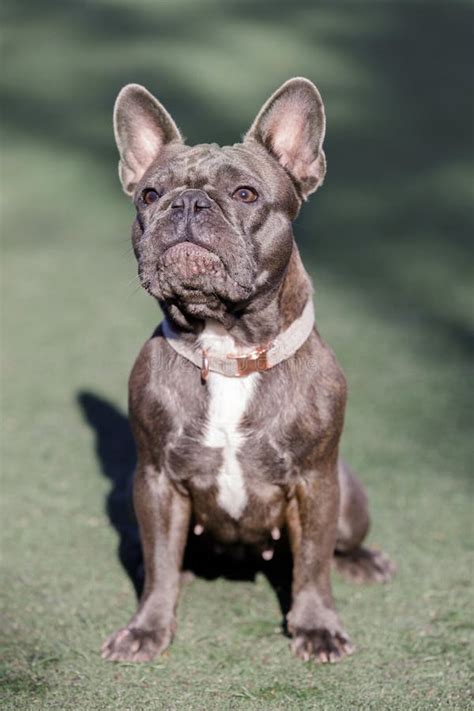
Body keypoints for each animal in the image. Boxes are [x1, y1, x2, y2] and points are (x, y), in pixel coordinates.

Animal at [102, 79, 394, 668]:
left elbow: (312, 564)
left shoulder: (315, 484)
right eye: (149, 195)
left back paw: (362, 561)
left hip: (349, 496)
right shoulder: (156, 483)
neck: (227, 346)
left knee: (335, 546)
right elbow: (162, 565)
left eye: (245, 195)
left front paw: (317, 627)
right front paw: (148, 626)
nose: (187, 202)